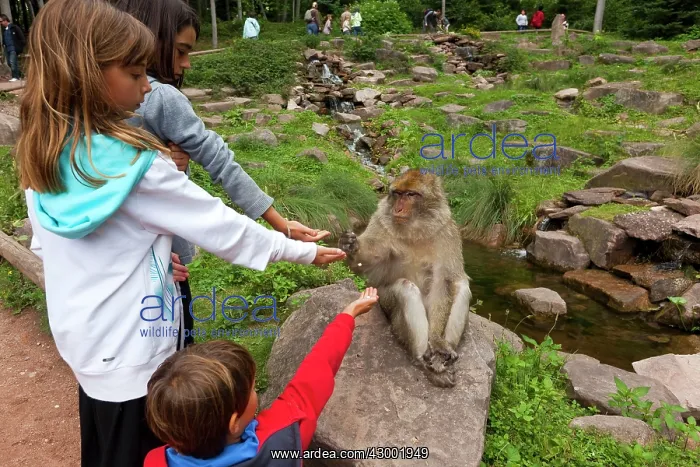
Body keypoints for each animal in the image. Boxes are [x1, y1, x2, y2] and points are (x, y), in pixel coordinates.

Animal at [339, 169, 471, 388]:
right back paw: (423, 361)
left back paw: (443, 357)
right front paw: (351, 246)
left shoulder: (447, 230)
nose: (398, 208)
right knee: (405, 289)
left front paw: (437, 341)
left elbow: (443, 281)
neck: (415, 229)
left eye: (411, 194)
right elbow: (371, 264)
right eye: (398, 193)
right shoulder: (380, 221)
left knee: (460, 285)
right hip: (388, 306)